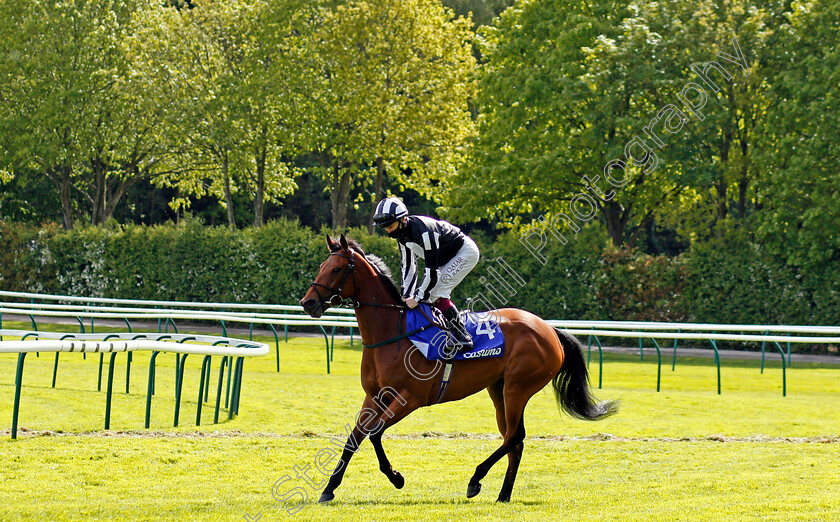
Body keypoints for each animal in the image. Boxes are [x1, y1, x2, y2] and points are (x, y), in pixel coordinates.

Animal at [302, 235, 616, 500]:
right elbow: (354, 438)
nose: (308, 302)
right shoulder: (375, 396)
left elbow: (375, 433)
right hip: (498, 389)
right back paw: (503, 495)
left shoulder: (410, 398)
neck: (394, 333)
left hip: (518, 387)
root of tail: (550, 329)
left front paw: (396, 477)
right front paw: (329, 488)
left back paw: (476, 479)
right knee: (513, 440)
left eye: (336, 269)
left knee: (515, 436)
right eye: (321, 266)